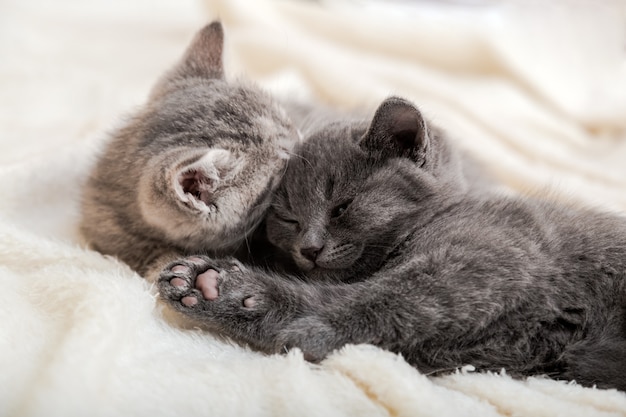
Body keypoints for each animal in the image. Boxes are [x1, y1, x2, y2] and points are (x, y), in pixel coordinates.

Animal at [156, 96, 624, 388]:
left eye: (342, 207)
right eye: (288, 218)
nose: (309, 248)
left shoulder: (482, 259)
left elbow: (382, 302)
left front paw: (237, 295)